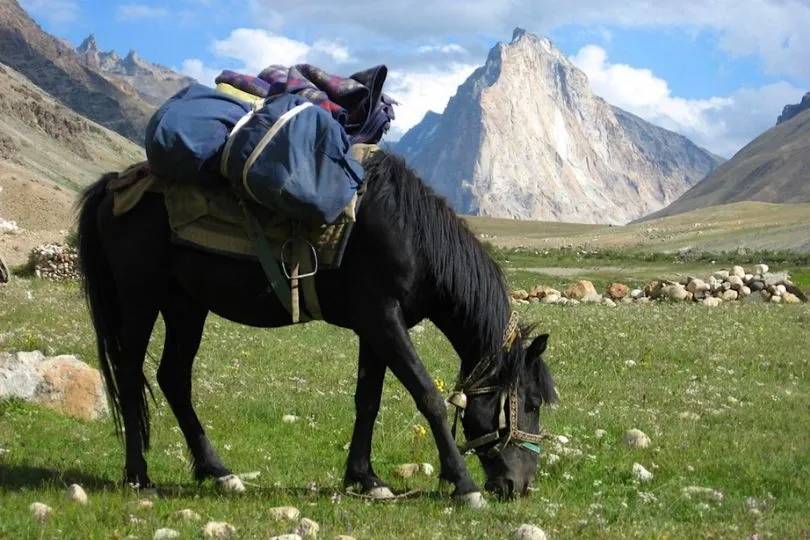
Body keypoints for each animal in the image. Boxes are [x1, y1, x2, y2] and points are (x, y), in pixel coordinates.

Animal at [76, 149, 556, 506]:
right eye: (530, 403)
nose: (519, 486)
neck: (409, 233)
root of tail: (114, 186)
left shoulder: (375, 326)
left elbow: (368, 401)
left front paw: (366, 479)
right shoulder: (382, 318)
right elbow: (428, 397)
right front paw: (464, 485)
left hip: (185, 306)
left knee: (173, 378)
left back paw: (219, 472)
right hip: (139, 298)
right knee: (130, 375)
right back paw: (139, 476)